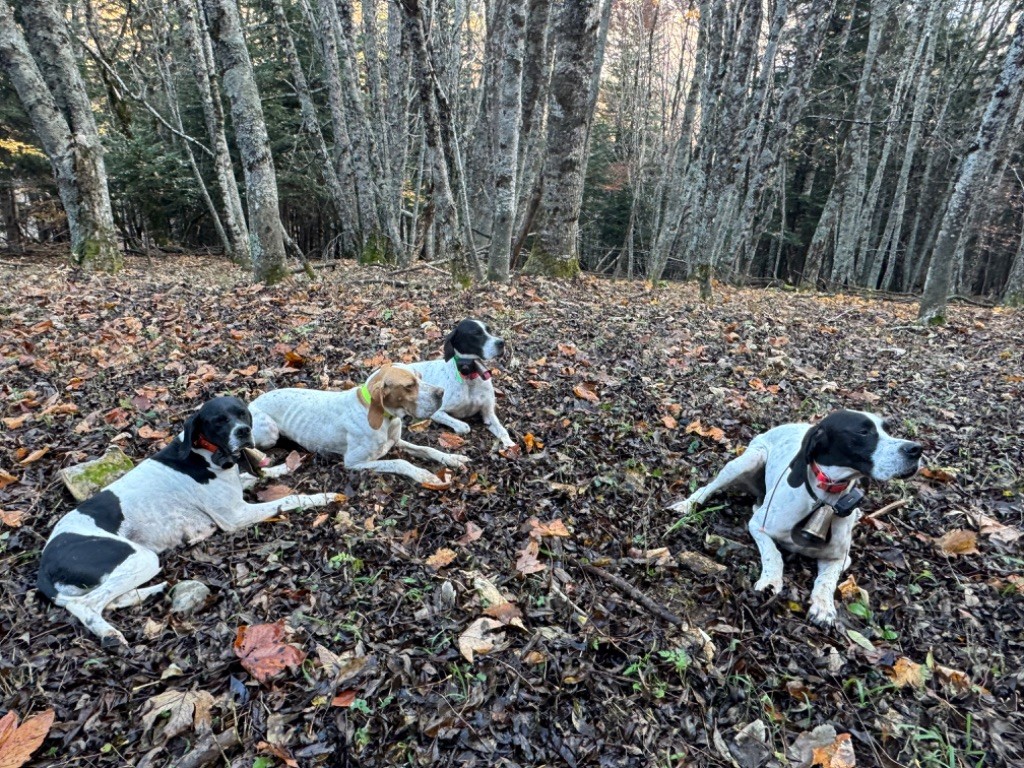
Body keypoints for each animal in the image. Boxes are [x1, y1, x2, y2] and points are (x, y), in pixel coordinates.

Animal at [407, 319, 516, 450]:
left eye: (489, 330)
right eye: (476, 333)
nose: (502, 342)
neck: (470, 377)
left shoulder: (488, 412)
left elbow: (503, 431)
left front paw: (511, 446)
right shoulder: (437, 412)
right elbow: (464, 427)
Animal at [667, 411, 925, 626]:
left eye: (887, 429)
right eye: (863, 432)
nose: (916, 449)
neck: (824, 500)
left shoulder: (841, 558)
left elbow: (827, 580)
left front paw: (824, 607)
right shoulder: (758, 526)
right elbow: (774, 555)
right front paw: (771, 582)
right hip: (747, 460)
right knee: (707, 488)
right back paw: (686, 505)